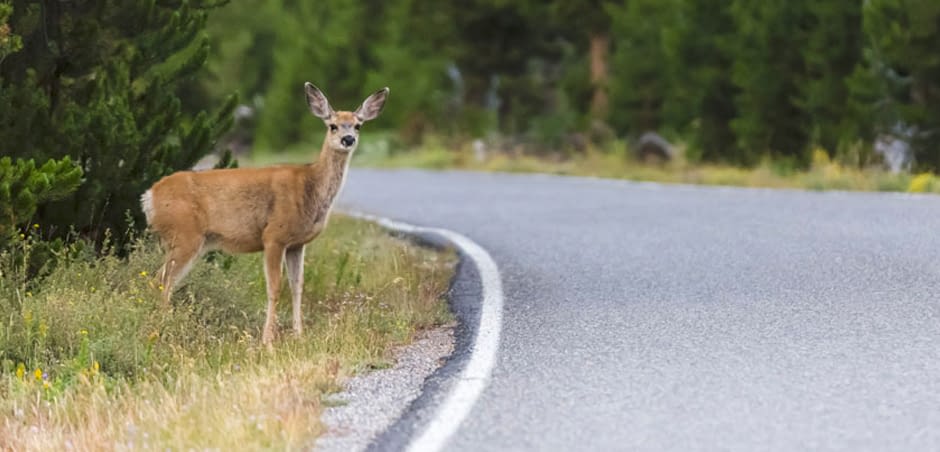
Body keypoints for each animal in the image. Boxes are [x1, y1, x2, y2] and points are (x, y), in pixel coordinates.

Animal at [140, 83, 389, 345]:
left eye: (358, 124)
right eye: (332, 125)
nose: (348, 139)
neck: (310, 187)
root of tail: (149, 196)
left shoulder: (297, 244)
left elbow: (297, 286)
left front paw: (299, 335)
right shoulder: (273, 236)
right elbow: (275, 287)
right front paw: (268, 339)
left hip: (189, 240)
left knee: (162, 280)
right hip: (184, 234)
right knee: (161, 280)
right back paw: (163, 328)